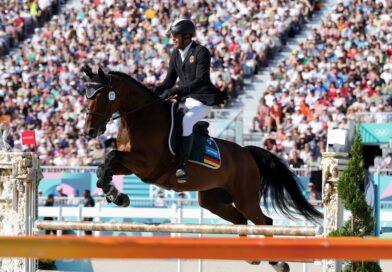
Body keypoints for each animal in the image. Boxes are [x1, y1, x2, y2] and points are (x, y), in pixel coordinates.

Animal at [82, 66, 322, 272]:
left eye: (101, 96)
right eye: (87, 95)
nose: (89, 131)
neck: (140, 118)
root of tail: (246, 153)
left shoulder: (147, 165)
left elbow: (111, 155)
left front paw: (115, 194)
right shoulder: (131, 165)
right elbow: (105, 165)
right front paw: (115, 194)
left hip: (245, 197)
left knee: (264, 221)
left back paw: (277, 262)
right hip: (213, 200)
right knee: (241, 220)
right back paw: (251, 256)